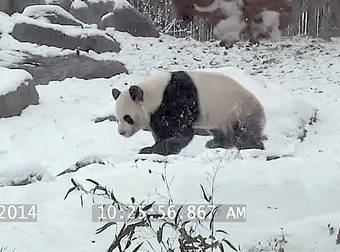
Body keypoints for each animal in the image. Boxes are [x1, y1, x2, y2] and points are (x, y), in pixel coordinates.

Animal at [111, 71, 266, 156]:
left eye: (128, 118)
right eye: (118, 119)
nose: (121, 132)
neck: (153, 94)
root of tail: (260, 107)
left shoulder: (175, 101)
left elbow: (181, 133)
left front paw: (150, 150)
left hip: (239, 111)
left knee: (245, 133)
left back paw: (252, 147)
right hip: (221, 118)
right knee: (222, 132)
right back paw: (215, 143)